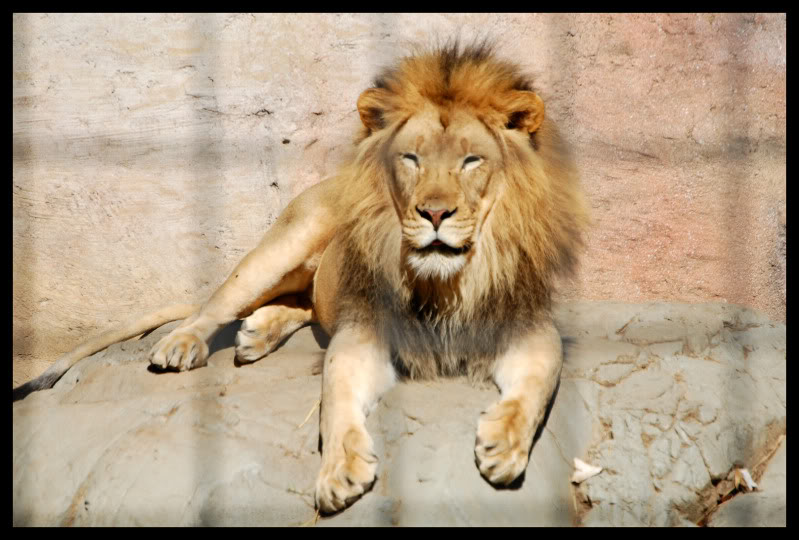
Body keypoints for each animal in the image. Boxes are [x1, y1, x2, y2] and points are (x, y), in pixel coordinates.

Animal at [14, 41, 589, 514]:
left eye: (472, 160)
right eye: (411, 158)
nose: (434, 213)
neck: (444, 282)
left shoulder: (530, 329)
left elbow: (536, 387)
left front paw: (503, 448)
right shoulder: (361, 335)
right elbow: (336, 398)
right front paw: (339, 471)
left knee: (302, 305)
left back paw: (258, 334)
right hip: (286, 243)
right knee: (216, 304)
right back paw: (184, 344)